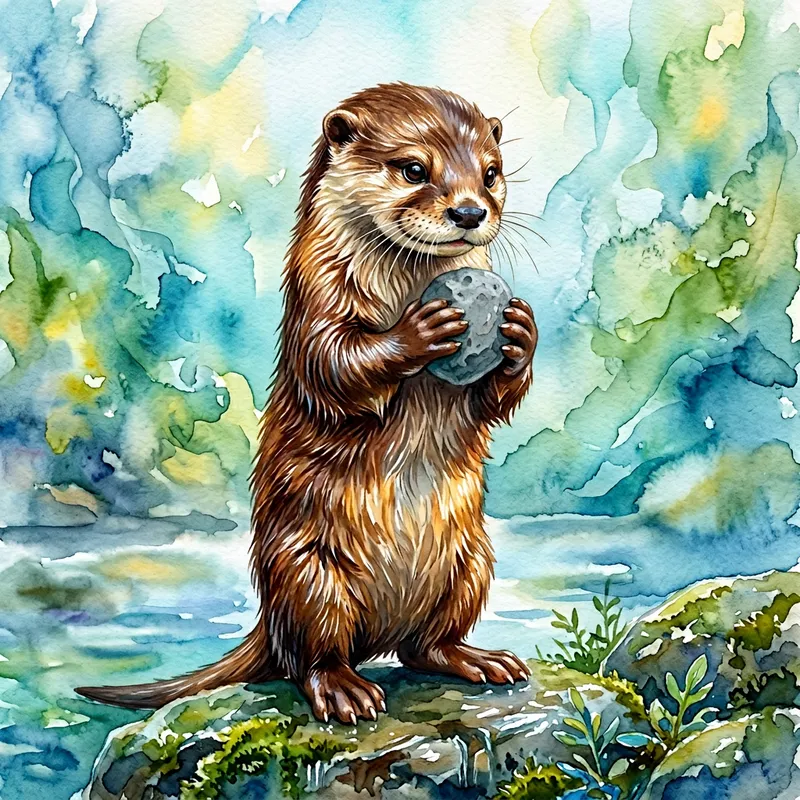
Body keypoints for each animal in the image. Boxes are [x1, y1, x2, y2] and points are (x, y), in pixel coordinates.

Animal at [76, 82, 538, 724]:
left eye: (491, 173)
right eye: (413, 169)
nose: (471, 212)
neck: (404, 285)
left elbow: (488, 405)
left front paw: (520, 332)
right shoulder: (315, 298)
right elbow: (334, 366)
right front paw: (419, 332)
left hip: (470, 561)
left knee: (424, 647)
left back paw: (479, 659)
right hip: (307, 571)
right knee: (310, 655)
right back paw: (344, 689)